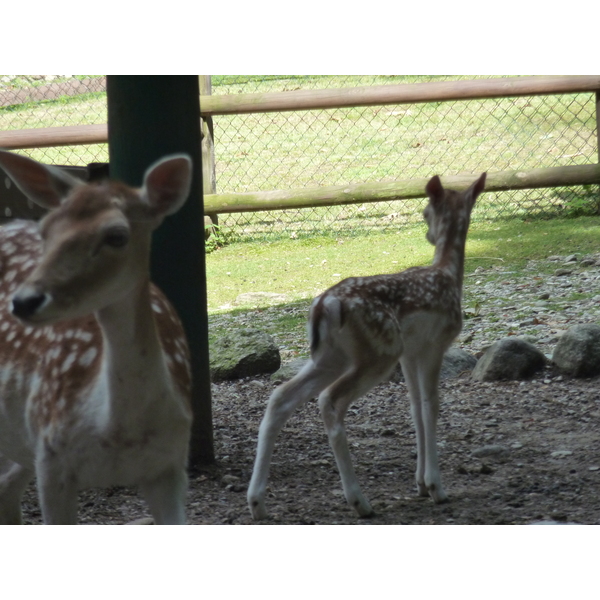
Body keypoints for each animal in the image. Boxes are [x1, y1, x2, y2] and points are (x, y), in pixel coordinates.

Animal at [0, 151, 193, 524]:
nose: (24, 301)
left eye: (117, 235)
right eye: (45, 230)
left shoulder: (171, 465)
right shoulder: (51, 460)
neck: (118, 433)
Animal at [246, 171, 486, 516]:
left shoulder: (410, 353)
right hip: (379, 351)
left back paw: (257, 503)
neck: (450, 275)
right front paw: (436, 487)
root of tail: (324, 305)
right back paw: (359, 500)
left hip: (333, 356)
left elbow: (415, 407)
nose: (428, 234)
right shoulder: (435, 343)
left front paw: (420, 484)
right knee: (330, 399)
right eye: (426, 212)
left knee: (280, 397)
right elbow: (431, 406)